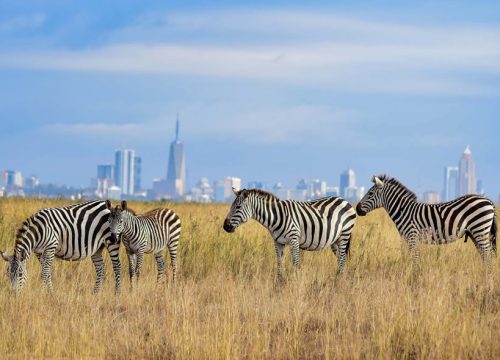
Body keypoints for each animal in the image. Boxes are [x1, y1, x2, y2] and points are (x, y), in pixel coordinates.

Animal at [222, 188, 356, 278]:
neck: (275, 217)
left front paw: (296, 281)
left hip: (344, 234)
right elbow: (279, 263)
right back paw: (339, 278)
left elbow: (295, 263)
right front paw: (279, 282)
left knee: (342, 259)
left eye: (238, 207)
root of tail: (344, 200)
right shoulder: (278, 242)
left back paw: (339, 281)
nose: (225, 226)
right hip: (335, 240)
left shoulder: (294, 239)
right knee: (340, 260)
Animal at [356, 176, 496, 266]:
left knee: (488, 256)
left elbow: (416, 259)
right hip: (475, 233)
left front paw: (416, 278)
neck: (403, 211)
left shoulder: (411, 236)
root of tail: (489, 201)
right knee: (485, 256)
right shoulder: (408, 239)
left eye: (370, 193)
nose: (357, 209)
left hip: (480, 230)